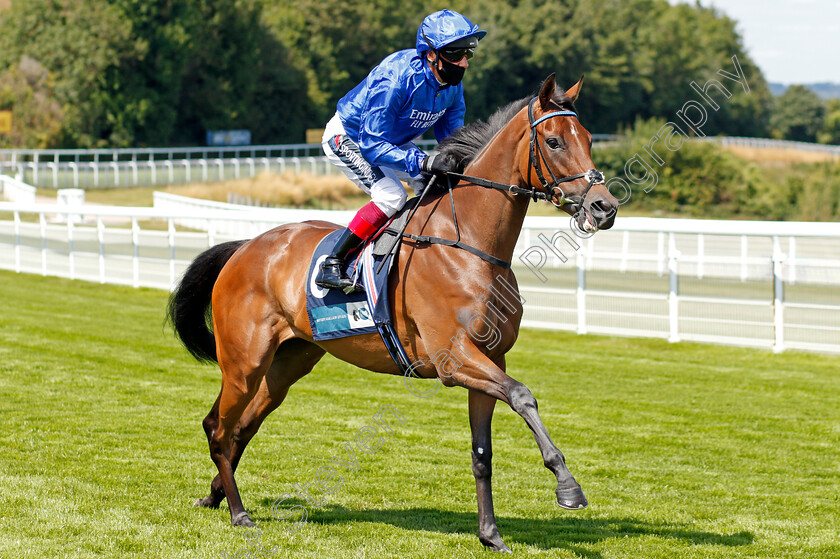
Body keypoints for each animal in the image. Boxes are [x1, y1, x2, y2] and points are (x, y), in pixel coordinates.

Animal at [169, 73, 616, 552]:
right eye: (553, 141)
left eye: (590, 138)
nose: (604, 207)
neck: (469, 243)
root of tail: (245, 247)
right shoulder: (454, 360)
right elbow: (522, 395)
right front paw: (568, 486)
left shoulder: (490, 358)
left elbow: (483, 453)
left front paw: (490, 534)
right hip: (244, 361)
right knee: (218, 426)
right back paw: (238, 512)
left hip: (288, 363)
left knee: (241, 427)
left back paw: (215, 495)